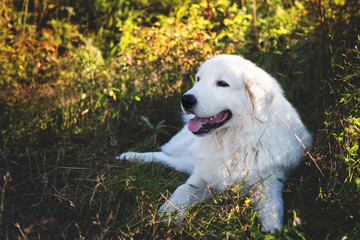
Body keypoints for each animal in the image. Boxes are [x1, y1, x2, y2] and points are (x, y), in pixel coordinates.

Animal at [119, 54, 312, 232]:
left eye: (222, 83)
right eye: (198, 79)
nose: (186, 99)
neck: (233, 143)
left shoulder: (269, 184)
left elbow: (272, 212)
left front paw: (272, 232)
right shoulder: (204, 177)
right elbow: (183, 188)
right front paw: (169, 212)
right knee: (163, 155)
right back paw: (129, 156)